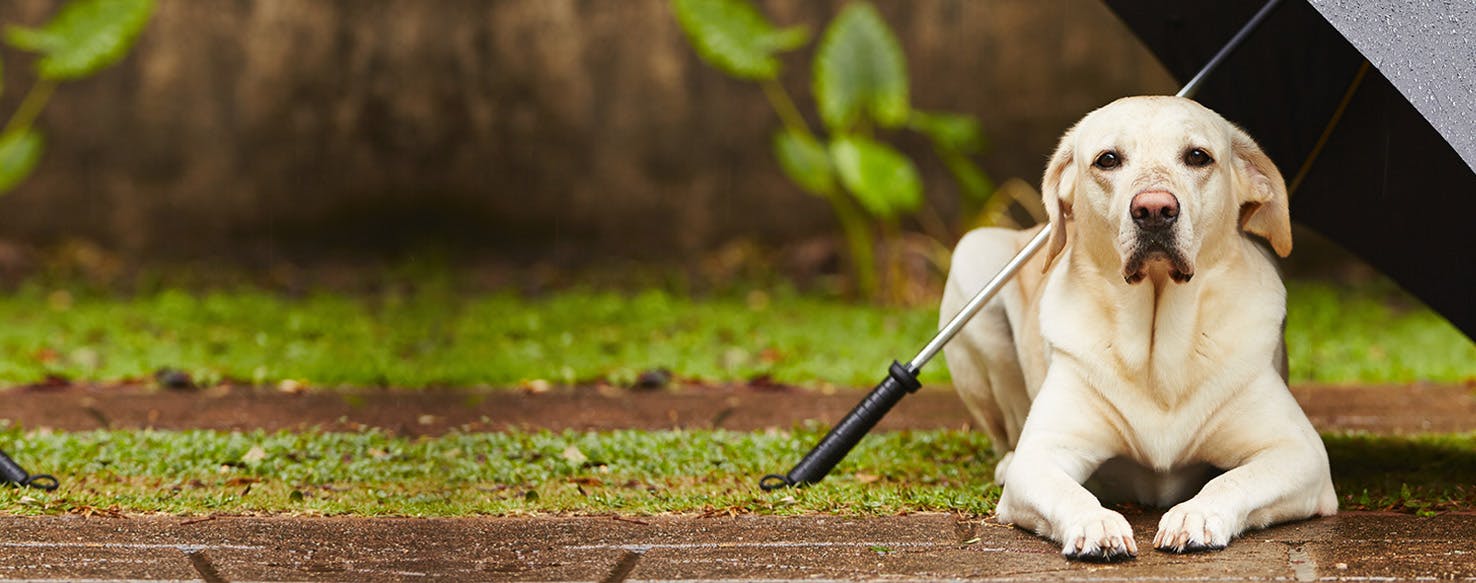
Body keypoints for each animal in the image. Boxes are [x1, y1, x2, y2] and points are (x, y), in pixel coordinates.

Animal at [944, 95, 1340, 560]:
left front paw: (1194, 515)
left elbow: (1233, 479)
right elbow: (1069, 490)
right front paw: (1095, 522)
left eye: (1198, 156)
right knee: (1006, 432)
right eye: (1108, 159)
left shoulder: (1300, 452)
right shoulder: (1041, 455)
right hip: (971, 258)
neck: (1157, 345)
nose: (1154, 209)